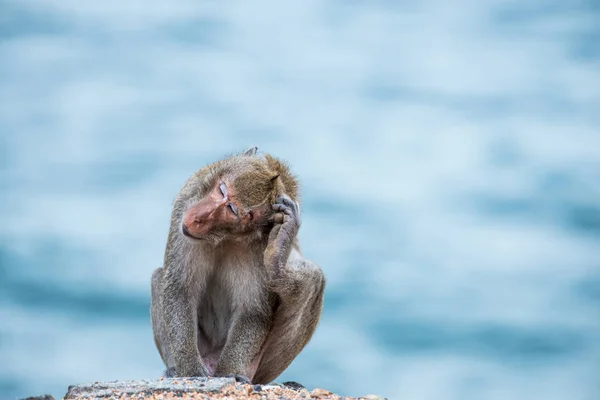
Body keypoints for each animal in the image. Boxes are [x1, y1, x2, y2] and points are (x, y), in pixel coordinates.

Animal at [152, 147, 326, 384]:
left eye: (232, 209)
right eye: (222, 189)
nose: (198, 217)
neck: (224, 236)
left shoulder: (261, 246)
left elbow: (253, 311)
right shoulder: (185, 201)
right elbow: (180, 289)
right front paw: (190, 369)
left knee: (314, 280)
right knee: (158, 277)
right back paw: (174, 369)